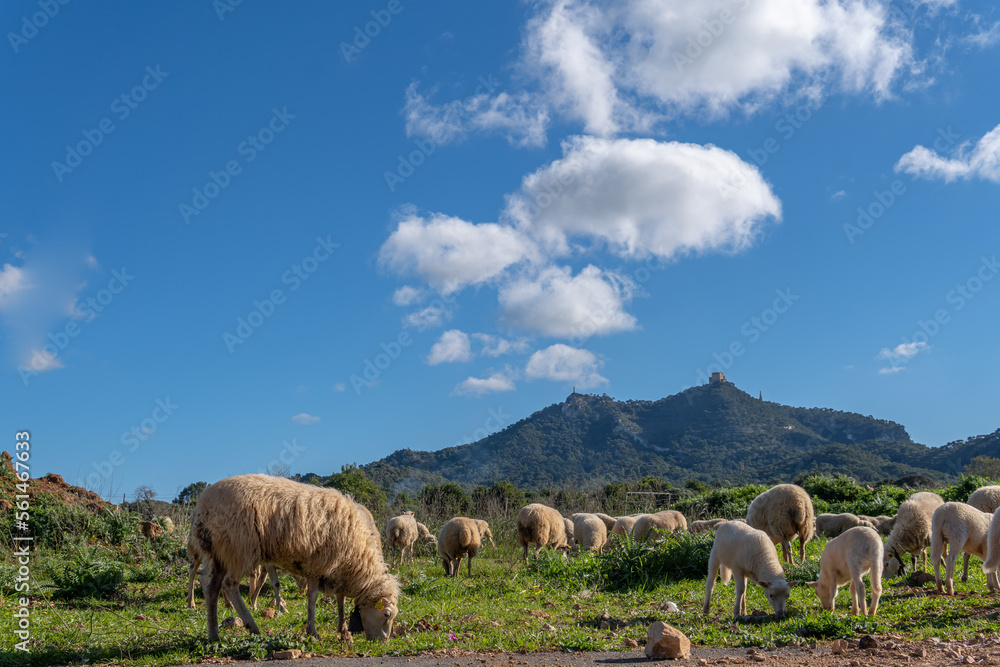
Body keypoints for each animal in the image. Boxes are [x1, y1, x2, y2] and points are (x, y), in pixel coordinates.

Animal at [191, 474, 399, 642]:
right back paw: (252, 627)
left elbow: (340, 599)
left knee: (212, 590)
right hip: (239, 549)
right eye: (387, 614)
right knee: (229, 586)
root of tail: (203, 503)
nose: (383, 641)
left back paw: (214, 634)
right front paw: (312, 631)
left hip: (220, 554)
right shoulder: (318, 565)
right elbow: (312, 598)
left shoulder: (337, 570)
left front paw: (342, 628)